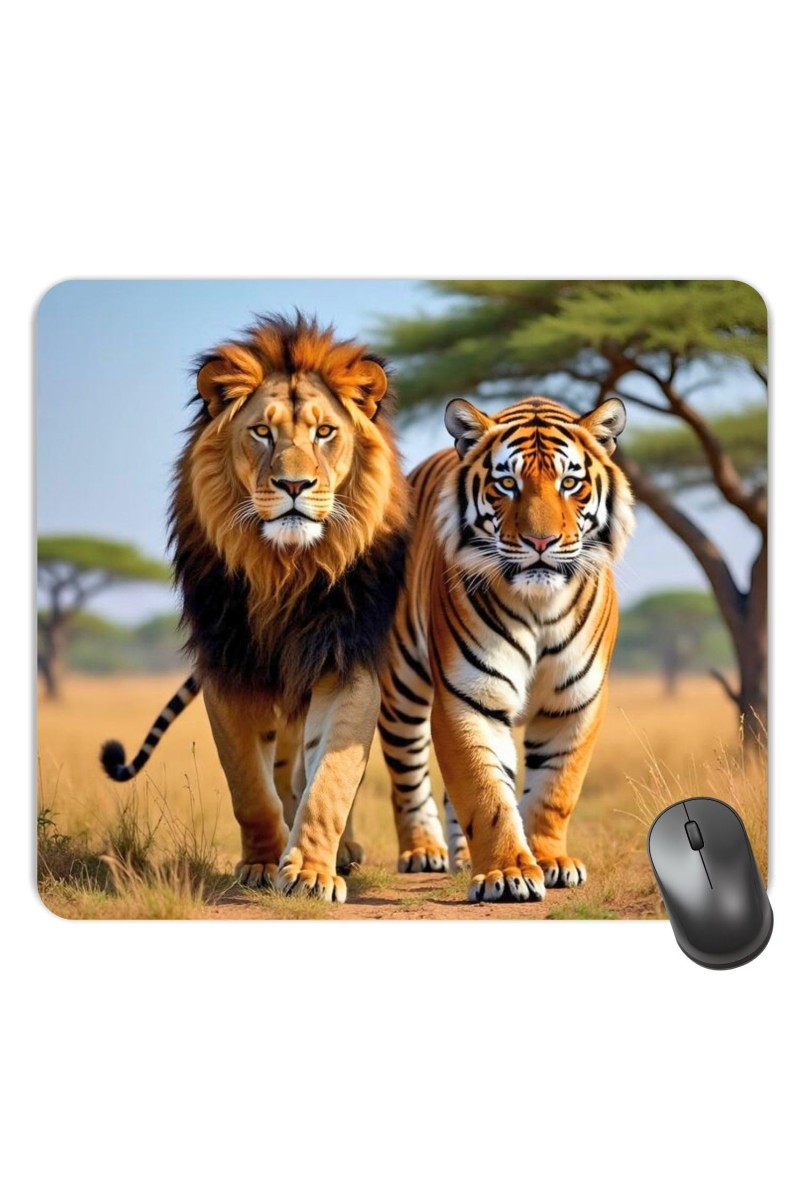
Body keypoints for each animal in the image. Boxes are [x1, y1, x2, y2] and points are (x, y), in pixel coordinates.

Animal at [378, 394, 635, 902]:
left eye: (569, 482)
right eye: (507, 484)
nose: (541, 541)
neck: (539, 606)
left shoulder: (574, 704)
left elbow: (555, 791)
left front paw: (551, 861)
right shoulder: (467, 699)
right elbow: (486, 794)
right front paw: (508, 872)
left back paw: (461, 858)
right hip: (402, 688)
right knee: (407, 775)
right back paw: (423, 852)